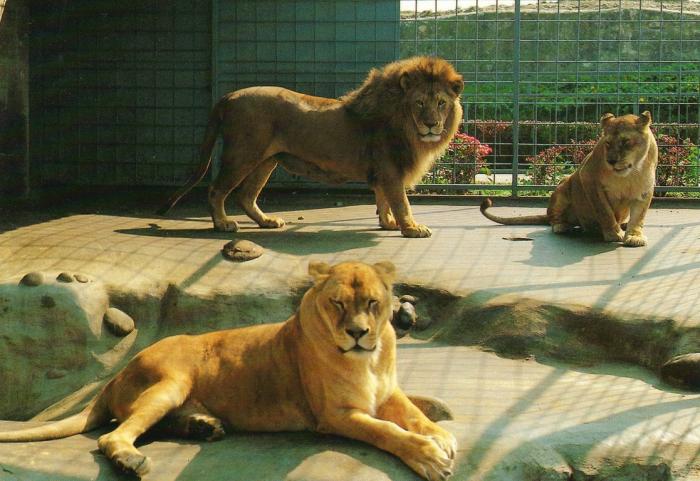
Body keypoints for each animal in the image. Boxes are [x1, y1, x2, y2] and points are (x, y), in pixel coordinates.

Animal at [0, 261, 457, 481]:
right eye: (338, 303)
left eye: (373, 303)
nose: (358, 333)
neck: (371, 359)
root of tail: (113, 378)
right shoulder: (336, 415)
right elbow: (388, 431)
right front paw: (429, 455)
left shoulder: (387, 391)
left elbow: (411, 412)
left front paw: (440, 430)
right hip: (172, 379)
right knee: (114, 434)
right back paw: (133, 460)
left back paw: (203, 426)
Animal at [156, 57, 464, 238]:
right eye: (420, 103)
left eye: (441, 103)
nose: (432, 125)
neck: (404, 122)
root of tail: (228, 96)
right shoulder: (390, 169)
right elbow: (401, 202)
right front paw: (411, 228)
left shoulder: (383, 173)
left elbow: (384, 200)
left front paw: (387, 223)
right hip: (242, 155)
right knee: (216, 189)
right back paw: (222, 224)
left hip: (266, 160)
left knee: (245, 196)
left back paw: (267, 222)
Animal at [481, 112, 658, 247]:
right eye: (607, 143)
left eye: (626, 141)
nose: (611, 161)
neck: (631, 172)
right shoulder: (588, 176)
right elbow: (604, 210)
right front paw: (613, 233)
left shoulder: (645, 190)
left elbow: (639, 216)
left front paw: (634, 236)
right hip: (563, 186)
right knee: (553, 218)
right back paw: (563, 226)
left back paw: (622, 224)